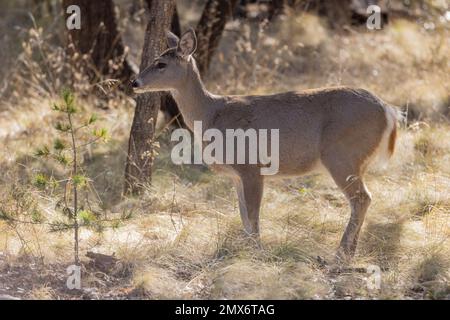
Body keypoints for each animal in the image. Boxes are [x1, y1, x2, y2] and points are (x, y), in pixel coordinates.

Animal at [131, 28, 400, 262]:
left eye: (161, 64)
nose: (135, 82)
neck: (212, 114)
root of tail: (389, 110)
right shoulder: (236, 175)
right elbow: (243, 215)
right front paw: (246, 249)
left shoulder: (251, 166)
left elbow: (253, 214)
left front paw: (256, 252)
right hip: (356, 160)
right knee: (362, 199)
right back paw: (349, 253)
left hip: (341, 154)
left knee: (362, 198)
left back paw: (340, 254)